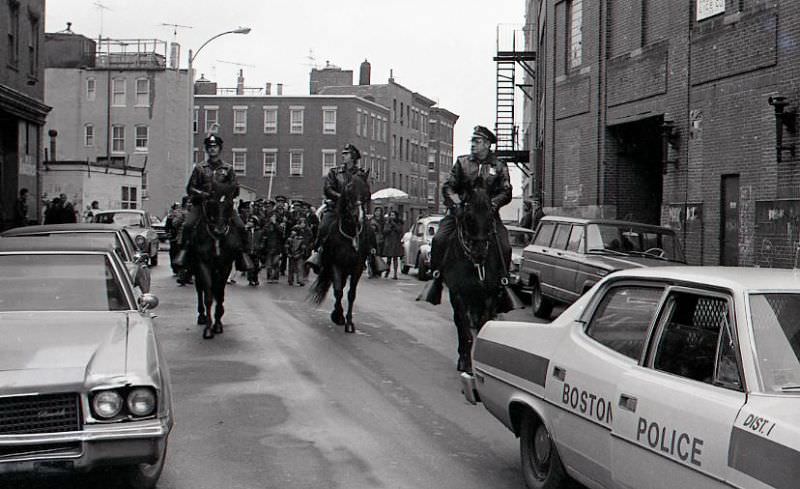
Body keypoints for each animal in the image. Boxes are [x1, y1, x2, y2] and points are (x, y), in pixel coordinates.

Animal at [189, 196, 239, 338]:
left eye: (230, 203)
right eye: (210, 202)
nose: (219, 230)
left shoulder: (226, 266)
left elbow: (220, 294)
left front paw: (218, 324)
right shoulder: (203, 265)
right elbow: (208, 296)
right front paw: (208, 329)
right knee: (200, 290)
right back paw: (201, 316)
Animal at [310, 171, 376, 332]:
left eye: (367, 192)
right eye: (349, 189)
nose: (358, 216)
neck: (350, 232)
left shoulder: (357, 267)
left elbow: (351, 294)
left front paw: (349, 322)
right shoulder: (336, 264)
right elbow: (338, 290)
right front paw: (338, 316)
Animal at [440, 181, 510, 372]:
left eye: (490, 217)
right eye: (469, 217)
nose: (479, 252)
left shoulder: (490, 295)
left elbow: (482, 325)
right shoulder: (458, 295)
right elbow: (465, 331)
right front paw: (466, 364)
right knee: (459, 323)